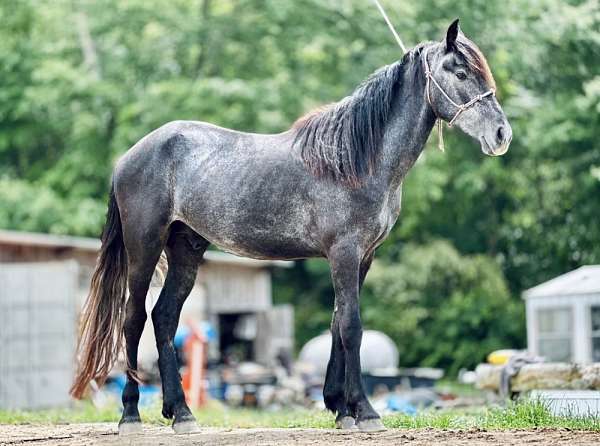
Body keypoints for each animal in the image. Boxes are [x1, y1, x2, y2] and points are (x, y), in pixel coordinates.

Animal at [70, 19, 510, 434]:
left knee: (164, 318)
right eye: (460, 72)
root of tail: (129, 156)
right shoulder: (344, 252)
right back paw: (130, 415)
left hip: (186, 249)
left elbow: (337, 322)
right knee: (134, 319)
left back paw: (181, 413)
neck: (355, 159)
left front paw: (340, 408)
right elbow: (352, 326)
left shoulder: (363, 256)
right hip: (144, 247)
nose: (502, 134)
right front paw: (365, 411)